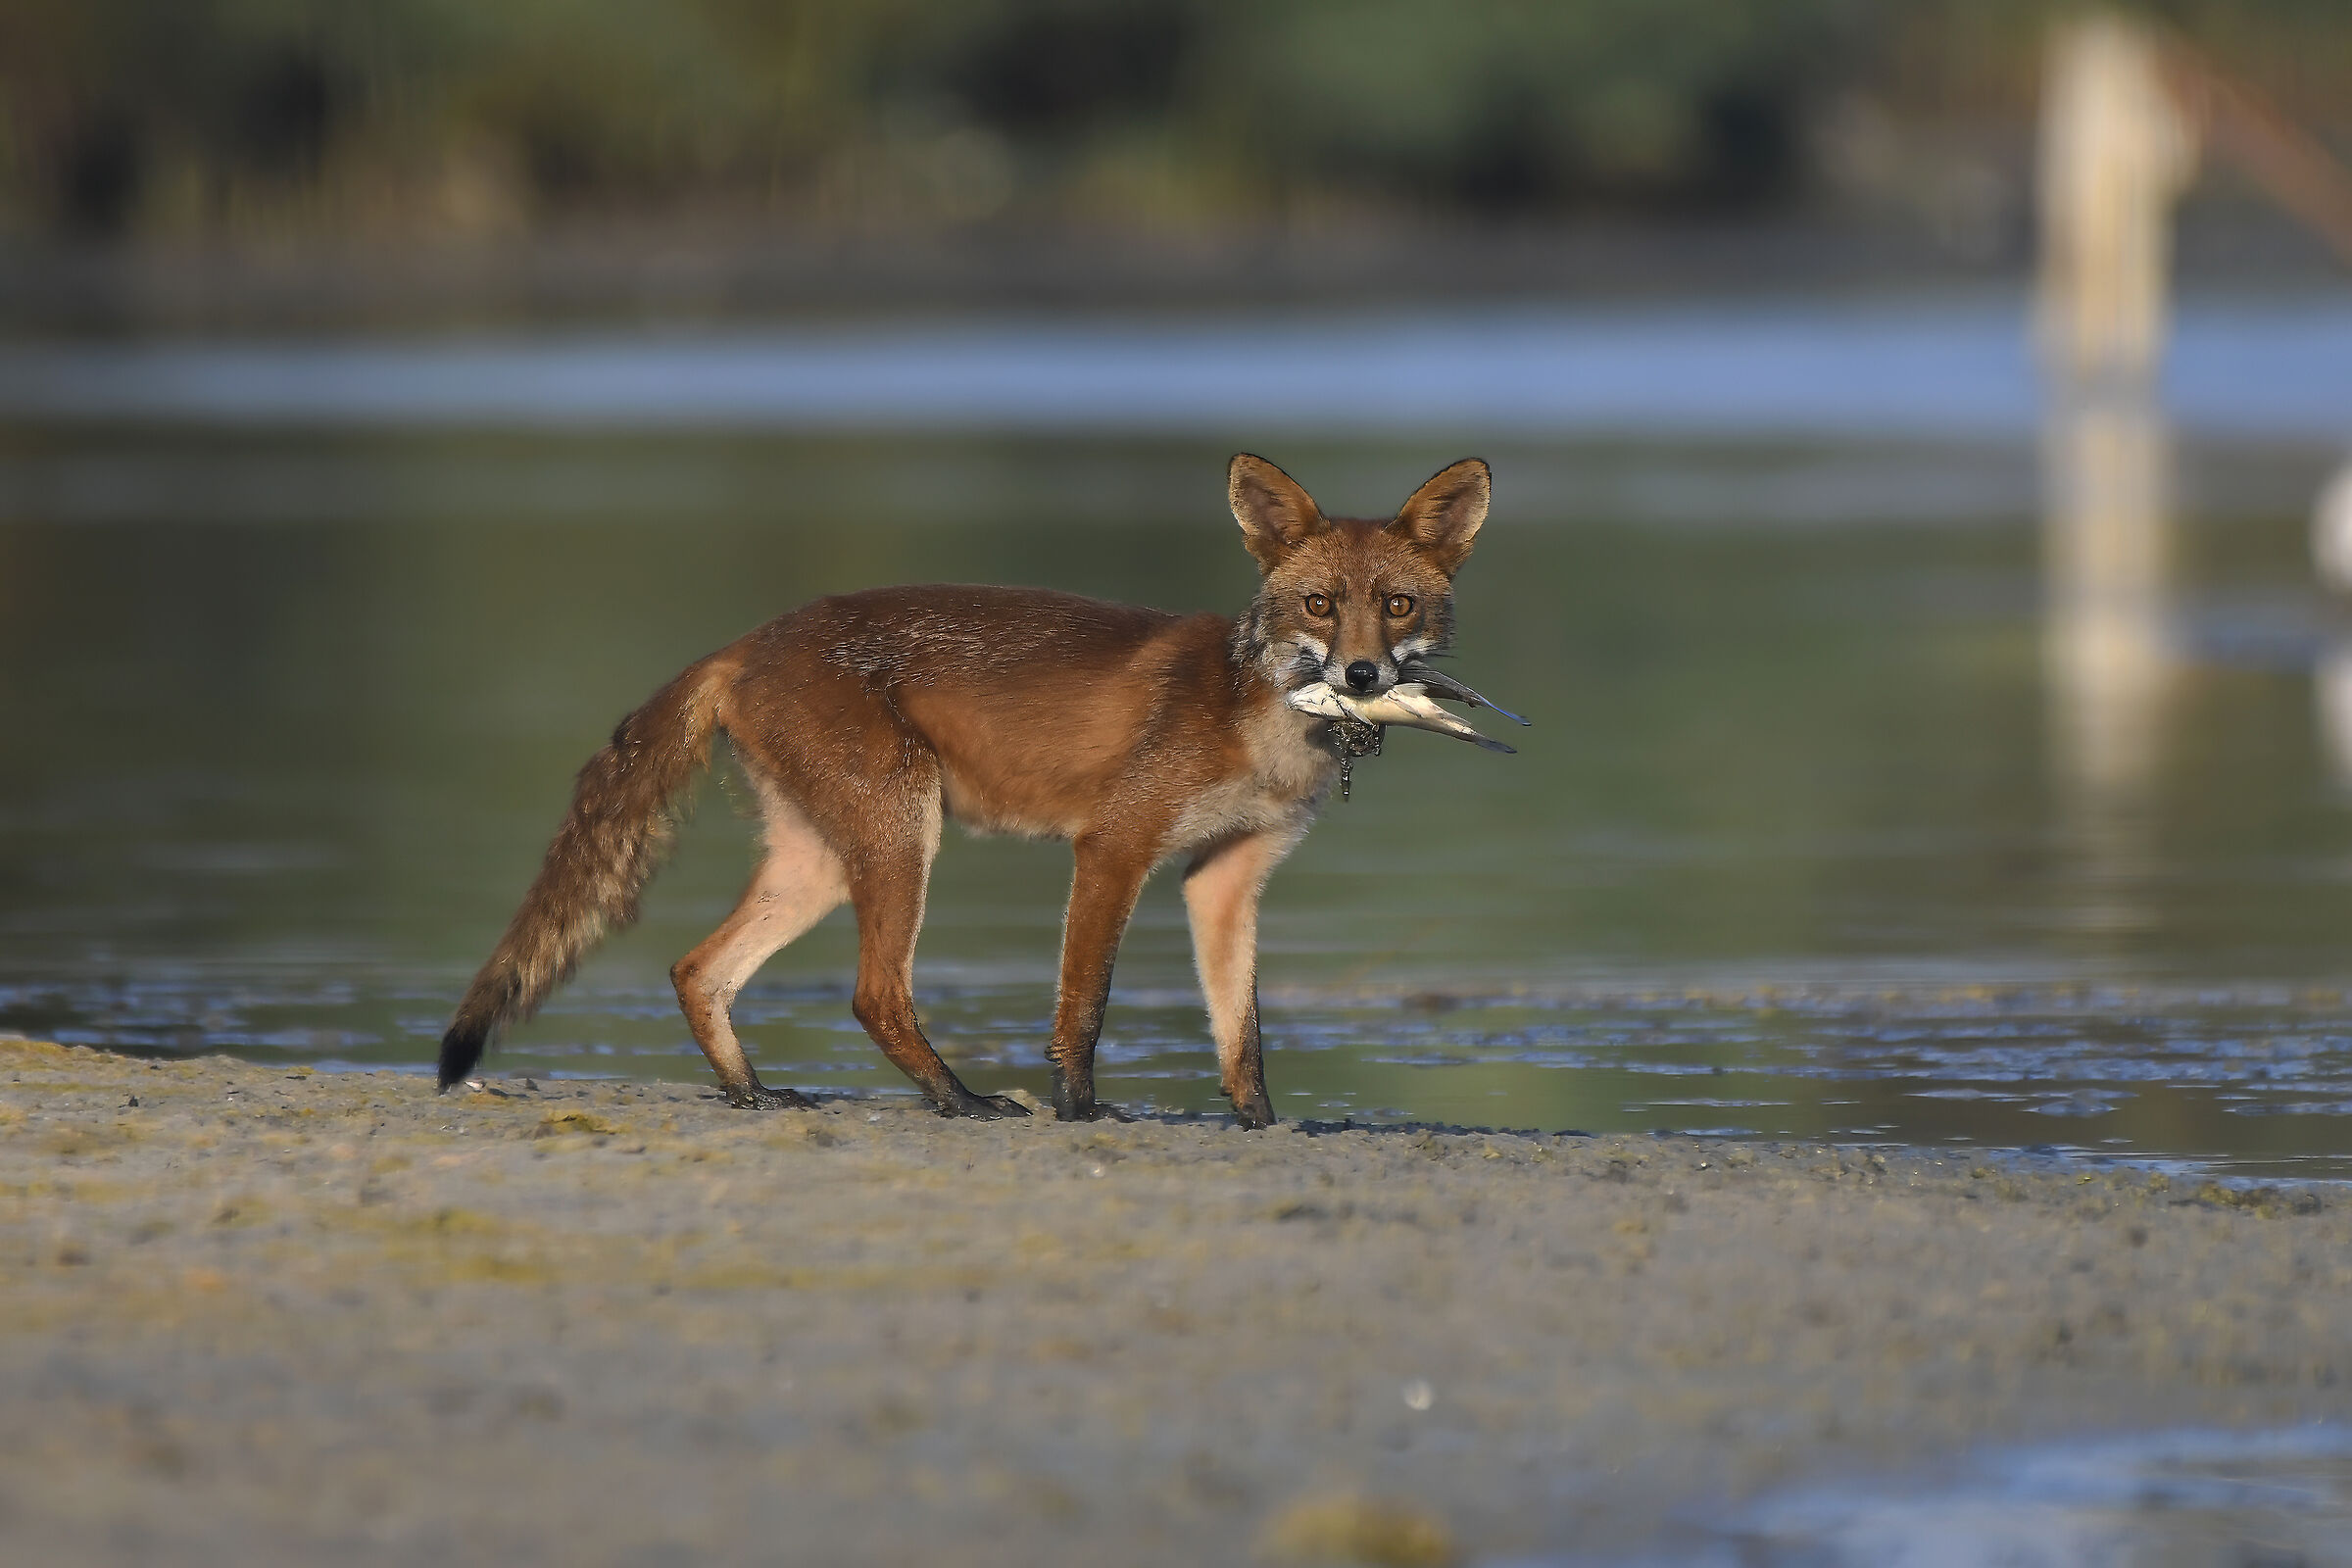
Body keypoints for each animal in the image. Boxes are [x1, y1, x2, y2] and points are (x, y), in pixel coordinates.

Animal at [436, 453, 1494, 1127]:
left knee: (699, 971)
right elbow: (1084, 1006)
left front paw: (1265, 1123)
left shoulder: (1225, 877)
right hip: (903, 833)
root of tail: (745, 641)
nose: (1361, 674)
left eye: (1396, 603)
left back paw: (752, 1093)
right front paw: (1081, 1110)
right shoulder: (1115, 846)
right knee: (873, 995)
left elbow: (1244, 1035)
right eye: (1319, 603)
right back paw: (958, 1100)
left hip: (820, 862)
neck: (1258, 718)